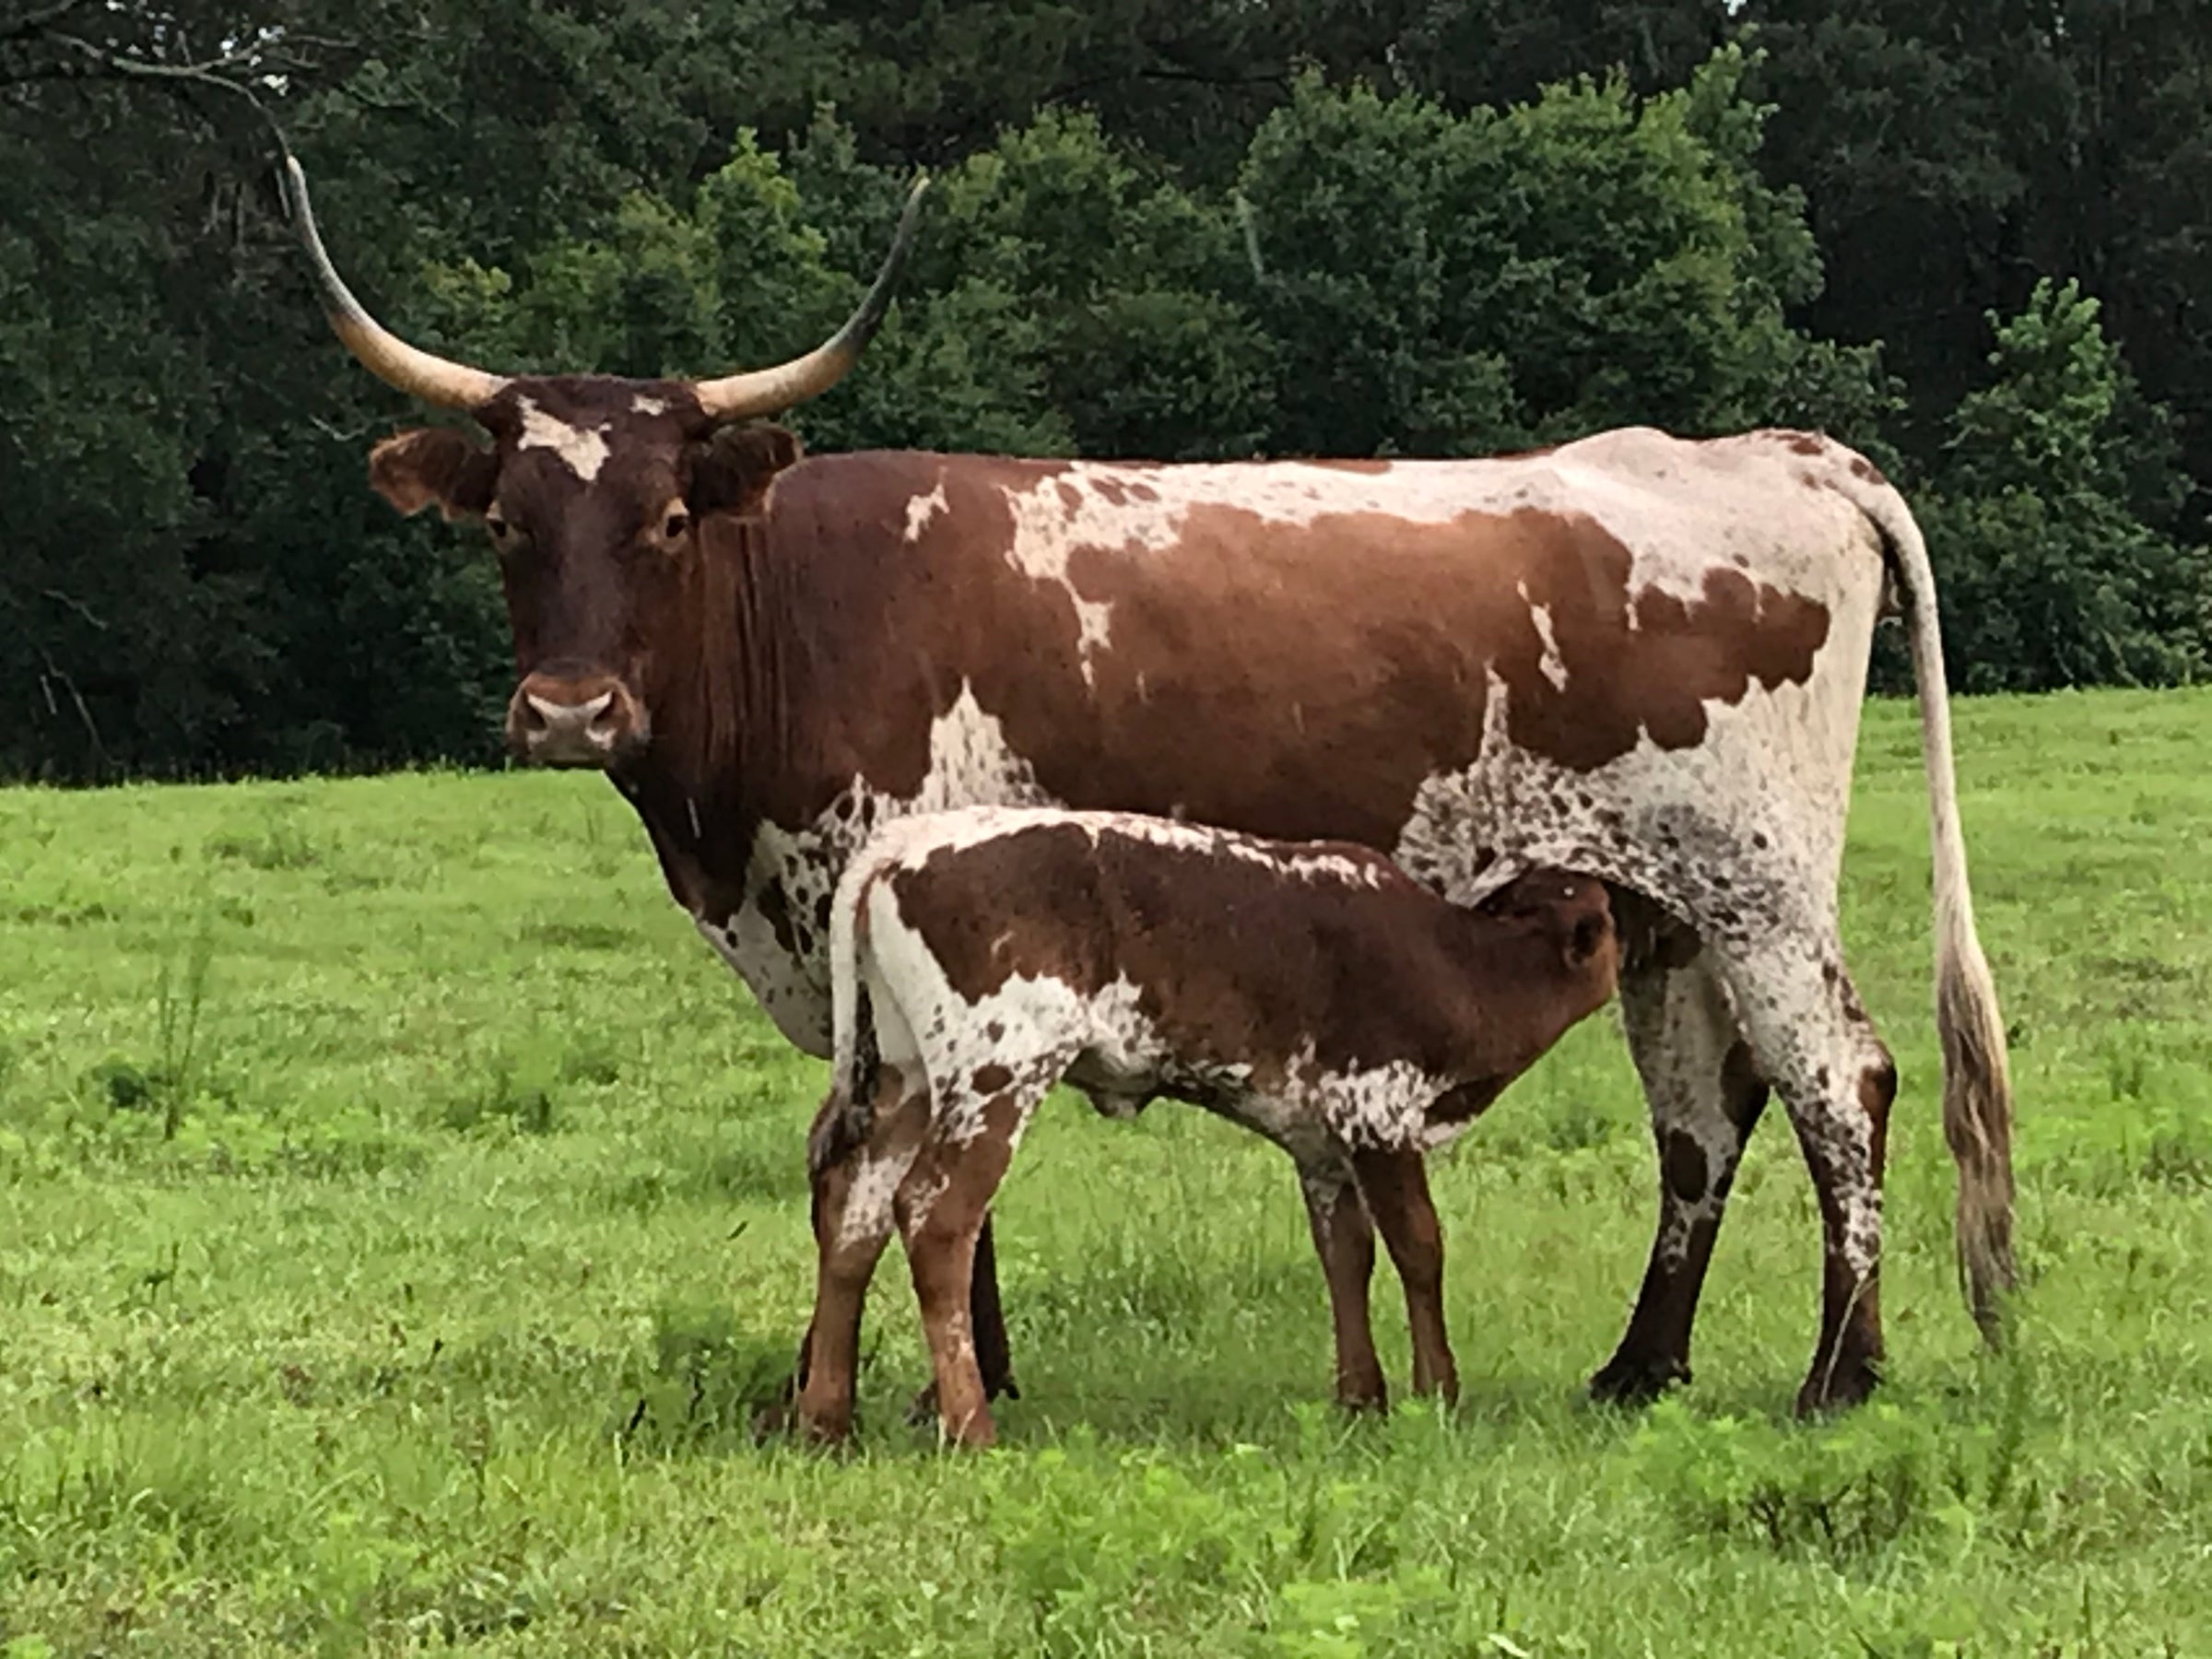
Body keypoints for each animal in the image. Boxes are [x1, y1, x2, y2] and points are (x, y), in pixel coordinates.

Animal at [792, 808, 1621, 1446]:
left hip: (907, 1079)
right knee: (935, 1217)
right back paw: (970, 1427)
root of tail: (903, 842)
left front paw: (1361, 1397)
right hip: (999, 1068)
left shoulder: (1321, 1144)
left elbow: (1345, 1254)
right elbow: (1419, 1246)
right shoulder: (1377, 1111)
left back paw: (824, 1420)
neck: (1461, 967)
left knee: (854, 1213)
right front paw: (1436, 1391)